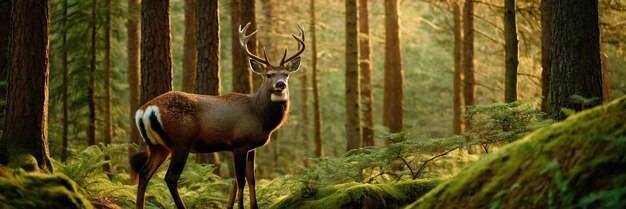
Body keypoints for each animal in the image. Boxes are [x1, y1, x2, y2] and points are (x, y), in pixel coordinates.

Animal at [129, 22, 302, 208]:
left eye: (286, 74)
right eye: (268, 75)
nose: (281, 84)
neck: (259, 115)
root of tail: (144, 110)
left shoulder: (251, 147)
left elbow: (249, 179)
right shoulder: (240, 142)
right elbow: (241, 180)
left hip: (158, 146)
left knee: (144, 173)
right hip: (181, 141)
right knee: (170, 178)